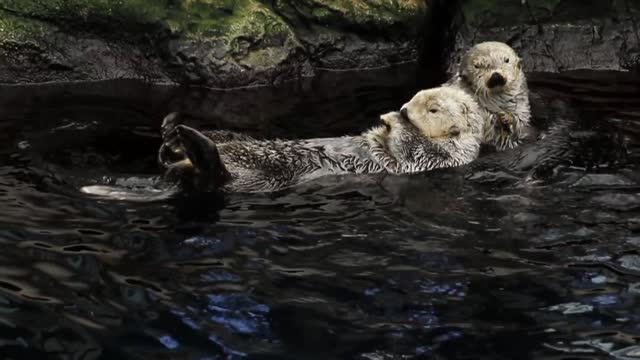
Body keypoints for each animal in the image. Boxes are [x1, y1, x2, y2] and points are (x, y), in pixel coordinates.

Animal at [160, 86, 484, 194]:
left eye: (433, 109)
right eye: (417, 95)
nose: (404, 109)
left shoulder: (438, 158)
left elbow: (409, 149)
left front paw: (393, 119)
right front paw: (389, 118)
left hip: (259, 179)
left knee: (215, 179)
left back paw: (189, 140)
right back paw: (173, 131)